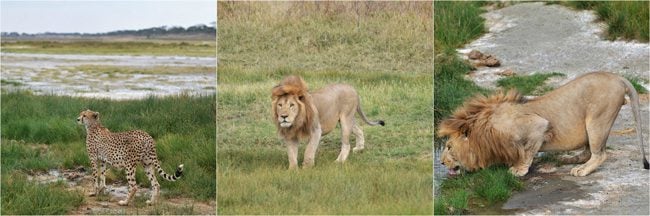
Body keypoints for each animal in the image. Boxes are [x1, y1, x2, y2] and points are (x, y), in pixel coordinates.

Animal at [438, 71, 644, 176]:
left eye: (448, 147)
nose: (440, 162)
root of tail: (618, 77)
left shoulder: (538, 125)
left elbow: (527, 151)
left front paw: (518, 169)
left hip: (597, 120)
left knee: (600, 154)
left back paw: (582, 170)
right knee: (587, 152)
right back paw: (570, 159)